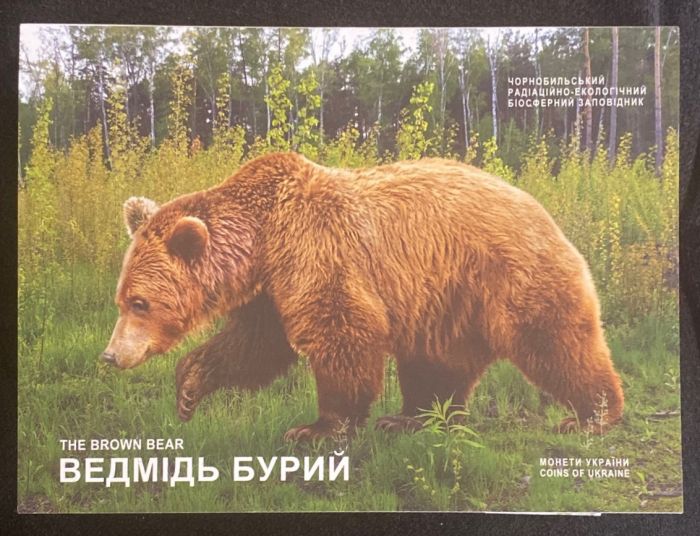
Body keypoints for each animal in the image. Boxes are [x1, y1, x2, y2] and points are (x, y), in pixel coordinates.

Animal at [102, 152, 624, 441]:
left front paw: (315, 429)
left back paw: (592, 416)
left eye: (141, 302)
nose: (110, 356)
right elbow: (254, 347)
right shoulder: (272, 289)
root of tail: (542, 209)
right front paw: (189, 388)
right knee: (435, 364)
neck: (262, 239)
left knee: (554, 343)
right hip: (446, 303)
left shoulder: (316, 252)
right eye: (122, 298)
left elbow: (343, 332)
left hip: (508, 276)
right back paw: (410, 420)